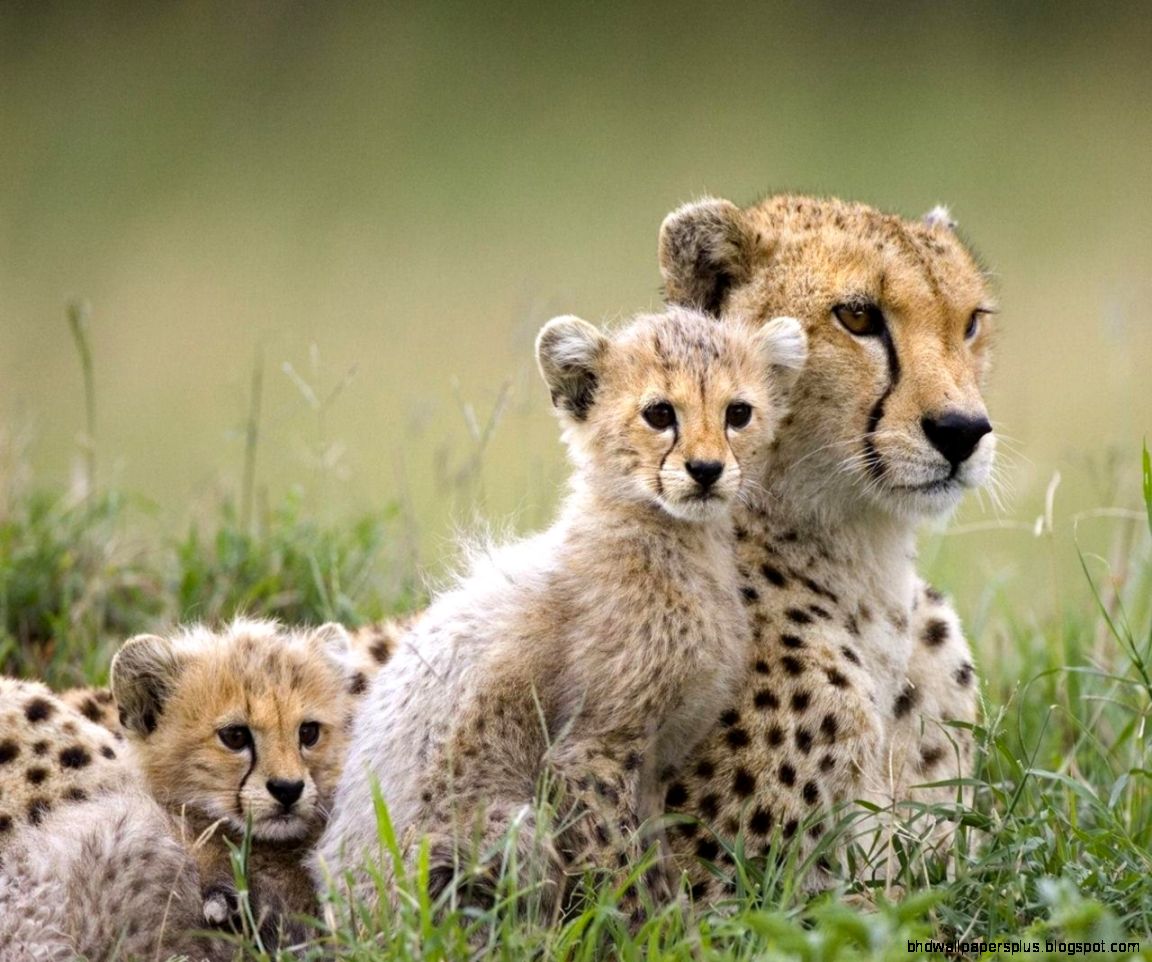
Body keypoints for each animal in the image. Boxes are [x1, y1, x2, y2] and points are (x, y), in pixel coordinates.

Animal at [313, 306, 808, 922]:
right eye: (659, 413)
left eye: (738, 413)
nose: (706, 469)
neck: (672, 541)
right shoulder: (589, 753)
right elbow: (621, 867)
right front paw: (637, 931)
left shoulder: (652, 765)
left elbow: (654, 858)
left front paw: (677, 924)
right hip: (501, 830)